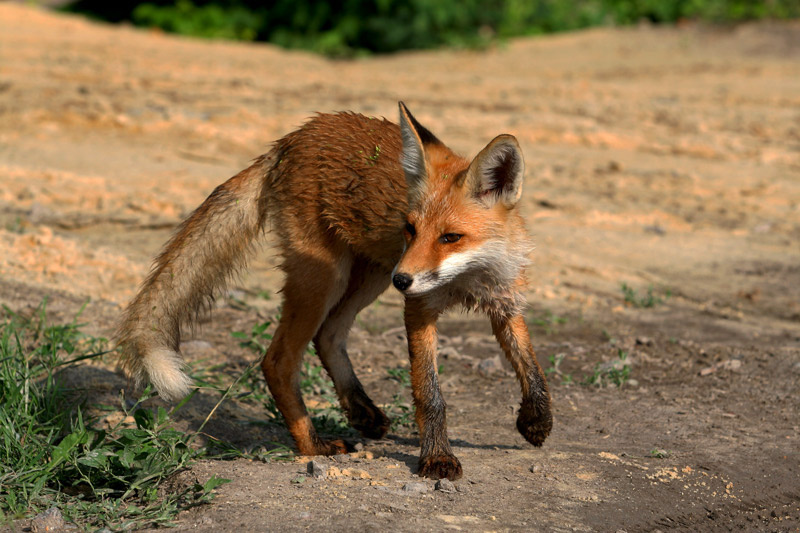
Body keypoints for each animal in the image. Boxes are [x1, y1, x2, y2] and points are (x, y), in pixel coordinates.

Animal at [116, 102, 552, 481]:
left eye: (450, 237)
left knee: (328, 335)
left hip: (371, 275)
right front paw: (437, 458)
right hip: (331, 277)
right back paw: (313, 446)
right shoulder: (419, 307)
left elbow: (530, 364)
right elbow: (430, 395)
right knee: (278, 360)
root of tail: (294, 136)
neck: (467, 280)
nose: (404, 280)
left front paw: (536, 420)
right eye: (410, 229)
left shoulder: (506, 299)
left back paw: (361, 411)